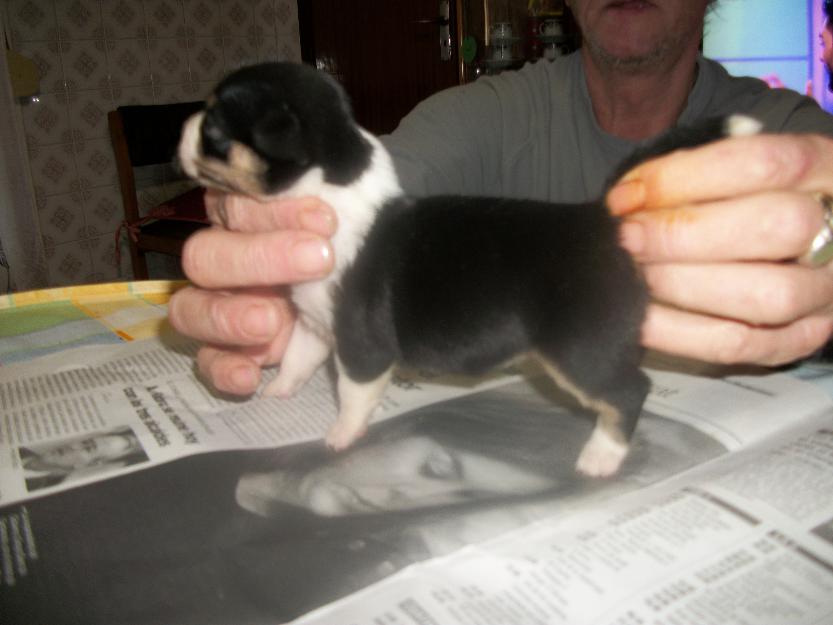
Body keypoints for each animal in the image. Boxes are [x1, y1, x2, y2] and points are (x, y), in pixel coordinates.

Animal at [180, 61, 760, 476]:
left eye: (213, 129)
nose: (179, 132)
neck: (334, 182)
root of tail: (601, 217)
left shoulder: (361, 345)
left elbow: (352, 396)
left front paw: (339, 438)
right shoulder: (315, 322)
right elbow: (297, 361)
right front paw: (273, 395)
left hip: (579, 349)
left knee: (628, 392)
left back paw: (600, 459)